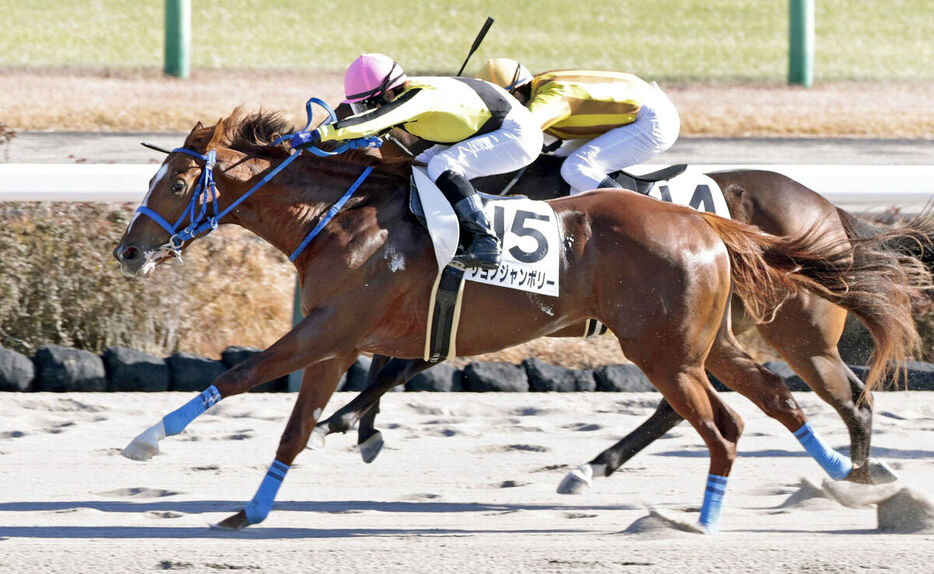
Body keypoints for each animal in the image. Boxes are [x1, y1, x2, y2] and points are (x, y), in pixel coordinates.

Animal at [115, 109, 928, 536]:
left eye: (177, 181)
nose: (128, 250)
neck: (342, 217)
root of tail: (707, 223)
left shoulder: (332, 329)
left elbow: (245, 374)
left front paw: (145, 441)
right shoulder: (335, 339)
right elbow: (294, 422)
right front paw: (251, 509)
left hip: (685, 346)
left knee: (756, 415)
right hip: (709, 341)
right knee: (782, 397)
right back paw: (851, 485)